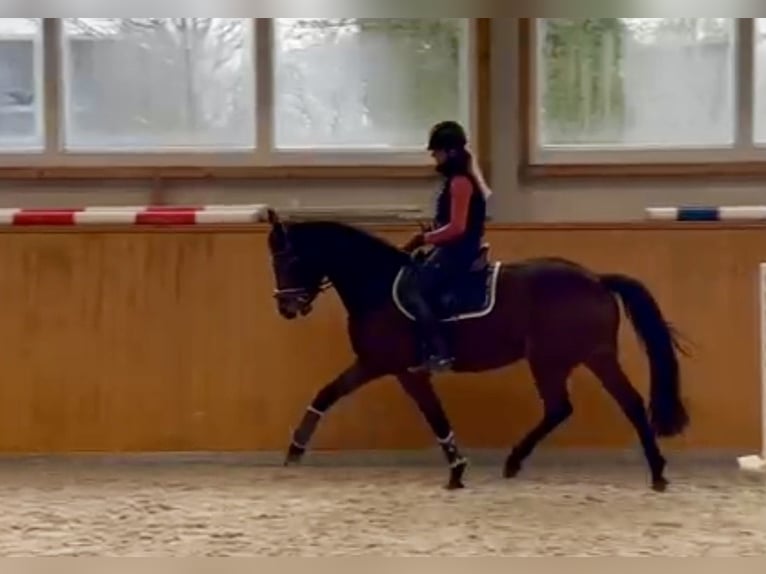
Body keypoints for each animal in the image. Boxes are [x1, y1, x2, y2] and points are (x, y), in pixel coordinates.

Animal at [265, 209, 690, 492]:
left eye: (289, 258)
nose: (286, 308)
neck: (378, 285)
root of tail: (596, 279)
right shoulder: (376, 364)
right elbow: (326, 394)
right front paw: (295, 449)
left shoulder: (394, 367)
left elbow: (434, 416)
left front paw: (457, 470)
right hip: (582, 357)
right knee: (598, 405)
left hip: (558, 359)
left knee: (586, 405)